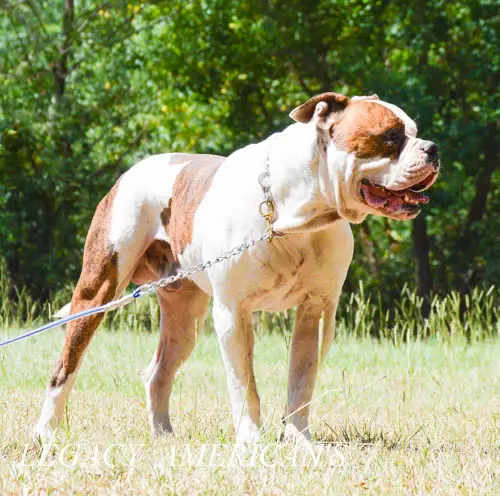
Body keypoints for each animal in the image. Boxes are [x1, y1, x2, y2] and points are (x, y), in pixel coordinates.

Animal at [34, 91, 438, 444]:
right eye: (390, 136)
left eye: (414, 131)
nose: (433, 148)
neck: (295, 215)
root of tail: (133, 171)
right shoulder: (233, 312)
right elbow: (244, 384)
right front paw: (250, 440)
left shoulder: (316, 312)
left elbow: (301, 382)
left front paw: (299, 440)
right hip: (96, 293)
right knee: (64, 367)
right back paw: (46, 431)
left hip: (184, 321)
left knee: (158, 373)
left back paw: (163, 434)